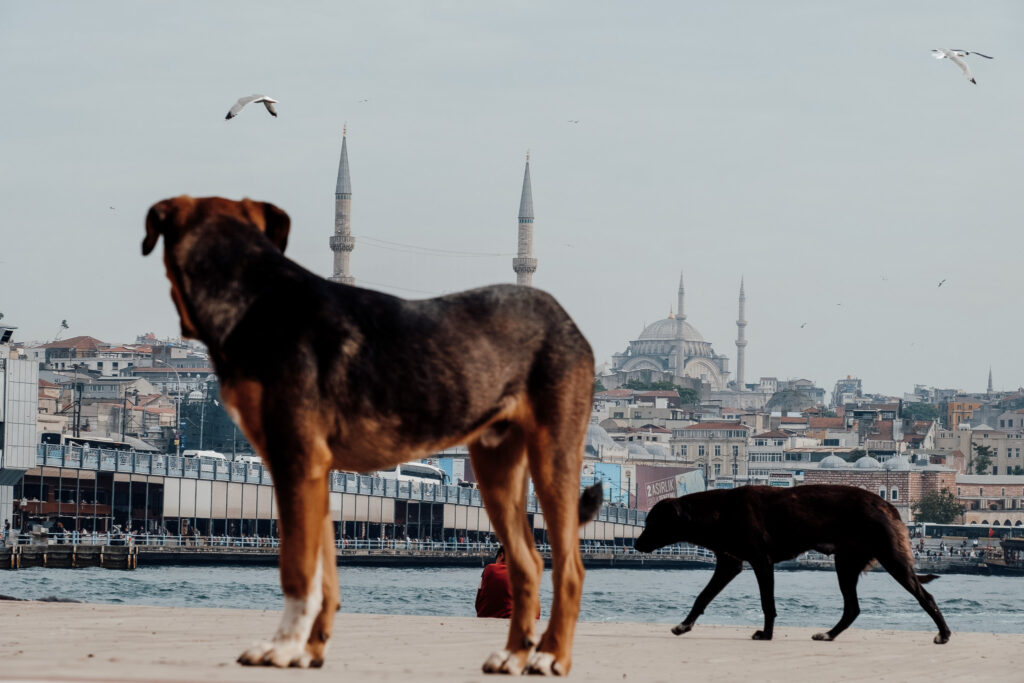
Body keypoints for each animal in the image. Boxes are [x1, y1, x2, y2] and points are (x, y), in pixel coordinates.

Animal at [141, 196, 602, 671]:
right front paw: (309, 651)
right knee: (527, 562)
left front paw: (282, 648)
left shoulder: (296, 458)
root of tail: (566, 320)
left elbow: (297, 566)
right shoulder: (315, 470)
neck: (259, 297)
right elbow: (323, 569)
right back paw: (513, 655)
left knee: (569, 566)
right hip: (495, 467)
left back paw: (551, 657)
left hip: (553, 454)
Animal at [630, 485, 950, 647]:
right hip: (846, 564)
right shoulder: (729, 564)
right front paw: (684, 625)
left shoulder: (761, 561)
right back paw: (829, 634)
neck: (717, 511)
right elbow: (702, 597)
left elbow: (767, 603)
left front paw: (766, 634)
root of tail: (888, 505)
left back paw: (944, 634)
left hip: (890, 559)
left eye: (653, 523)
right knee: (852, 608)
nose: (635, 544)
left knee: (926, 597)